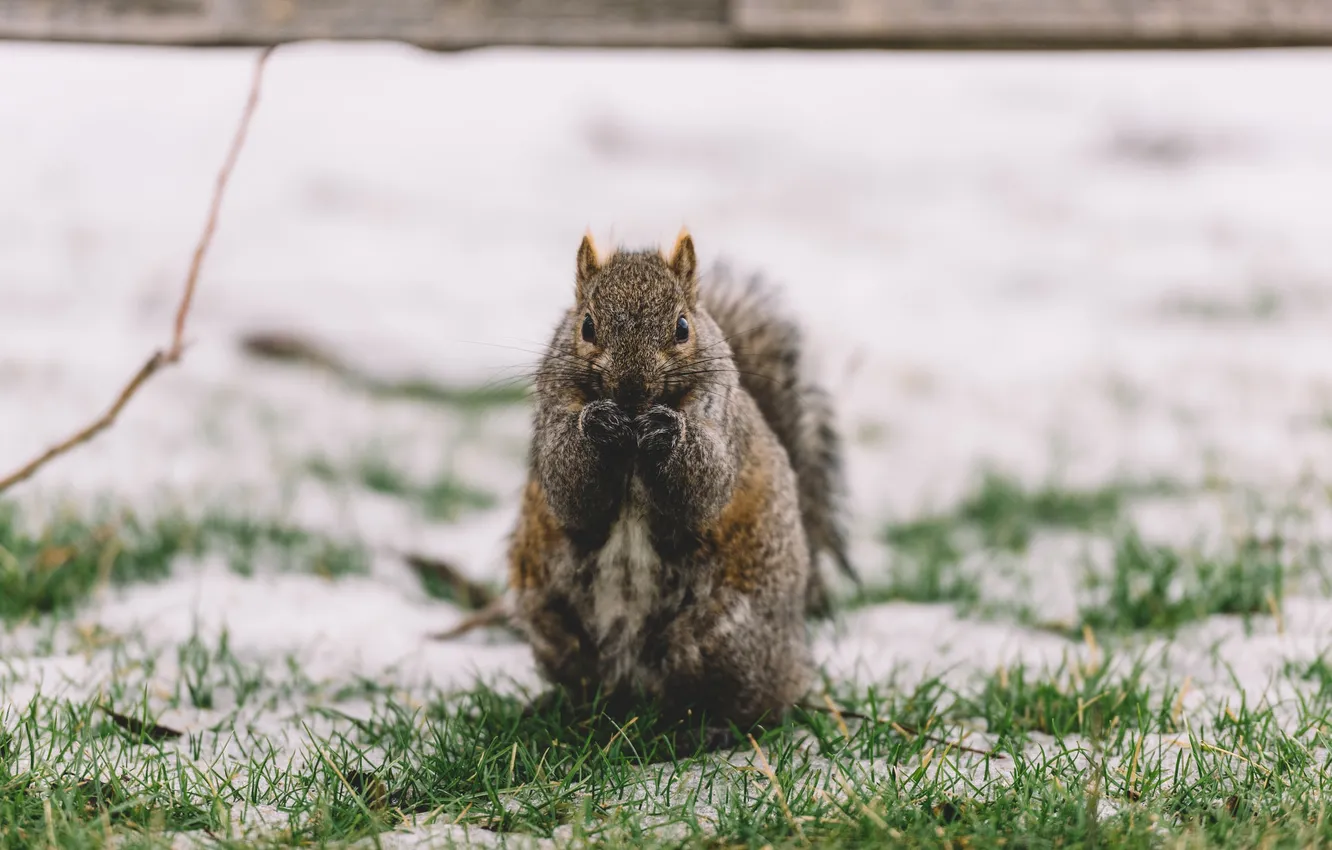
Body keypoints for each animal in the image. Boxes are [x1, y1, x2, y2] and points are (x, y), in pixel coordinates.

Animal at [503, 231, 857, 751]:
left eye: (682, 327)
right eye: (586, 325)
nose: (631, 389)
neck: (631, 444)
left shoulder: (722, 427)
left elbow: (706, 486)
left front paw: (668, 430)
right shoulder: (553, 416)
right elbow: (569, 487)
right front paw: (597, 423)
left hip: (724, 639)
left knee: (760, 704)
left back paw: (712, 728)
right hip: (553, 621)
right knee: (592, 688)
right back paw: (561, 708)